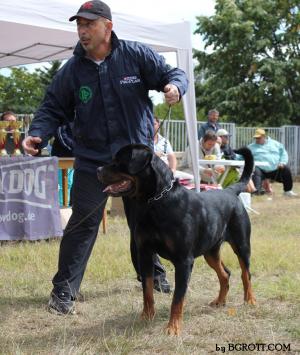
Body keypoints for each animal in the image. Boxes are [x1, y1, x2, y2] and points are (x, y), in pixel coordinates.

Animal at [97, 143, 256, 336]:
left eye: (119, 160)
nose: (97, 169)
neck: (156, 202)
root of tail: (230, 191)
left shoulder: (183, 261)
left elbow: (177, 298)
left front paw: (173, 327)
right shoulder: (145, 253)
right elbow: (147, 290)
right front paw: (147, 316)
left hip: (242, 245)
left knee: (245, 274)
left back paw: (250, 300)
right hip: (210, 251)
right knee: (225, 274)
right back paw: (219, 301)